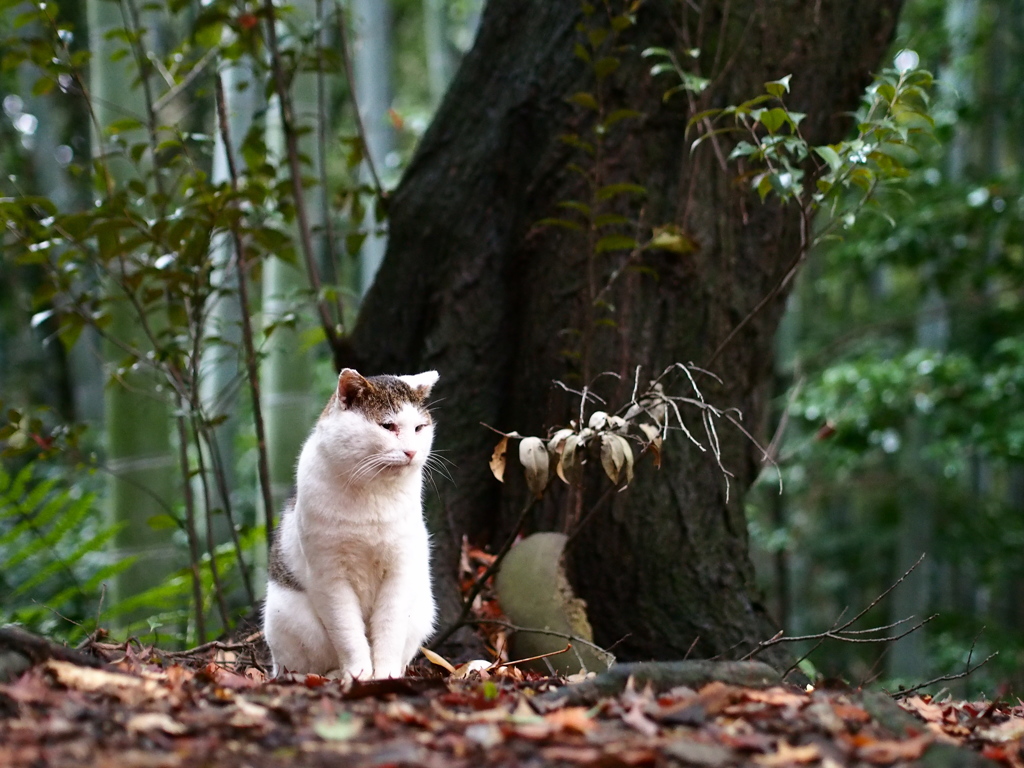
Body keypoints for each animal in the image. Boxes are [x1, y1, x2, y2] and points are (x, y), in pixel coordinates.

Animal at [262, 370, 438, 675]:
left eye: (419, 428)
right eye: (388, 426)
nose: (411, 452)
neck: (372, 493)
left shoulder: (400, 568)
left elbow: (390, 626)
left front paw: (386, 674)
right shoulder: (330, 575)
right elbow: (347, 632)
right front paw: (359, 674)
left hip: (422, 609)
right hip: (286, 617)